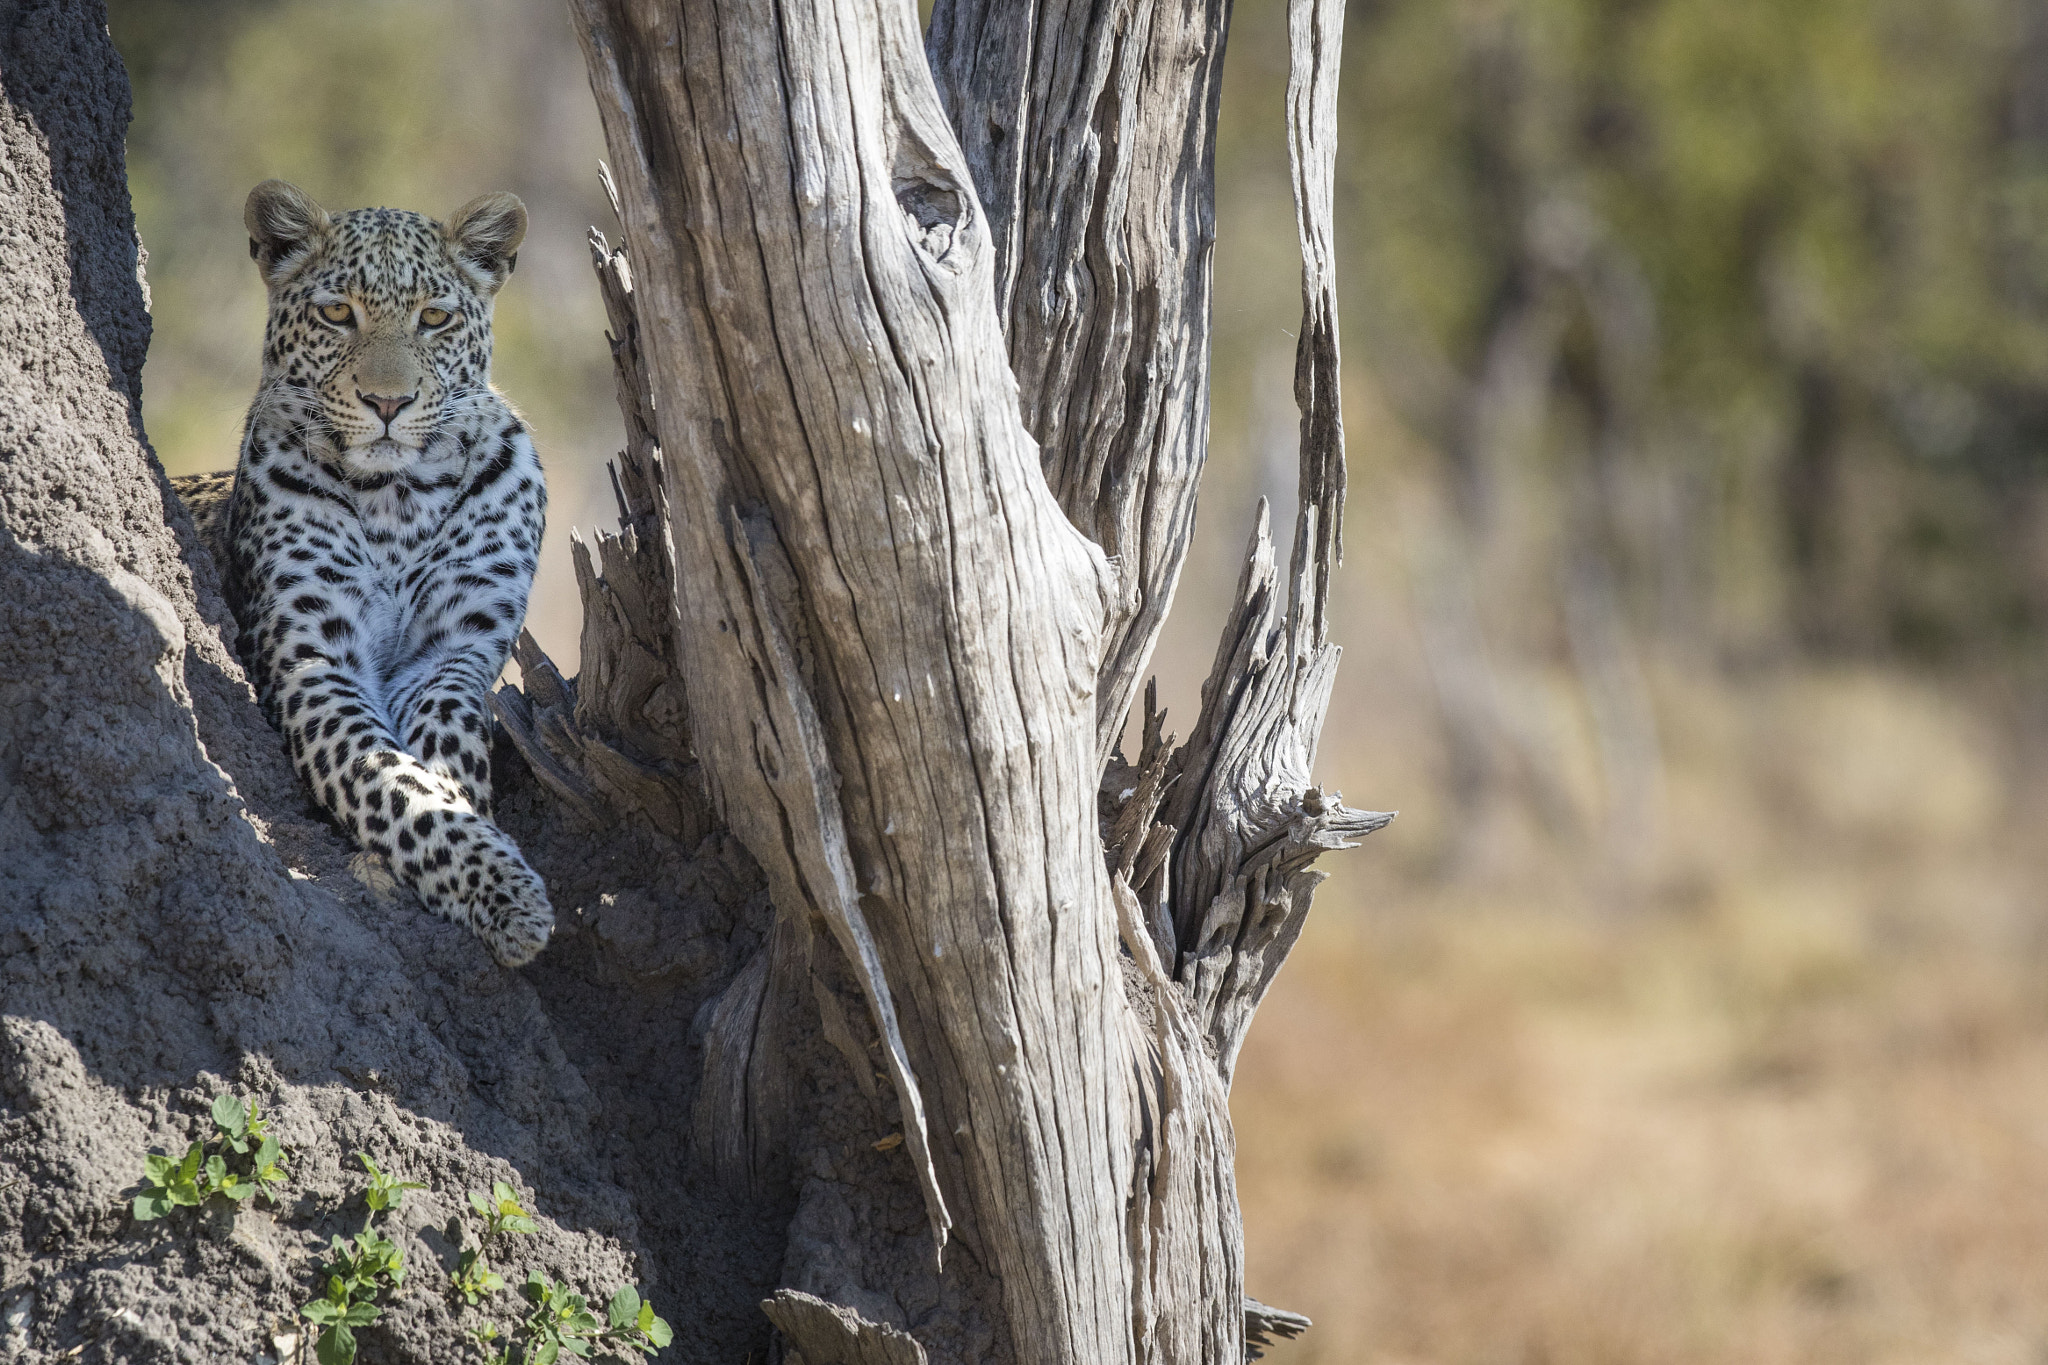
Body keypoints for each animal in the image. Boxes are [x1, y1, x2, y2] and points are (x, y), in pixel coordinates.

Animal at [172, 181, 557, 965]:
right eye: (336, 313)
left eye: (435, 318)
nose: (387, 403)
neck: (398, 499)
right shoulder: (313, 660)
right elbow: (388, 779)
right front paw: (503, 892)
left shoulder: (456, 649)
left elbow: (446, 742)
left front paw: (473, 837)